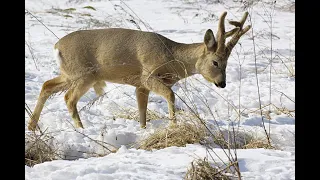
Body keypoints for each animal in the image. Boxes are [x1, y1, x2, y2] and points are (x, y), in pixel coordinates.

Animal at [27, 11, 251, 131]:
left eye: (227, 62)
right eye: (215, 62)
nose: (222, 83)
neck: (171, 56)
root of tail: (57, 46)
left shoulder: (139, 85)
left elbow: (142, 110)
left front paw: (143, 130)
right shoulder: (147, 75)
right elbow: (170, 94)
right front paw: (173, 126)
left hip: (69, 74)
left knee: (46, 86)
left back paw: (32, 127)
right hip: (84, 74)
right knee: (69, 98)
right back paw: (82, 129)